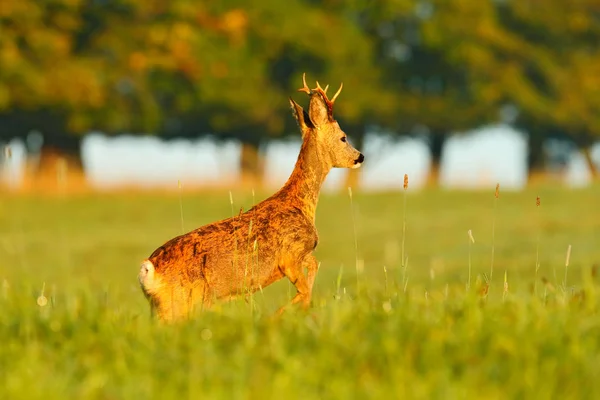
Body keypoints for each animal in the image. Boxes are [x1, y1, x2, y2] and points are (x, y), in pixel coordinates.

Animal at [139, 72, 366, 322]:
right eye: (344, 137)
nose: (360, 157)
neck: (298, 204)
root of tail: (148, 270)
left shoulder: (302, 255)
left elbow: (313, 271)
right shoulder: (290, 255)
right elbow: (305, 291)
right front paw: (281, 316)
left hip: (163, 307)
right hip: (181, 302)